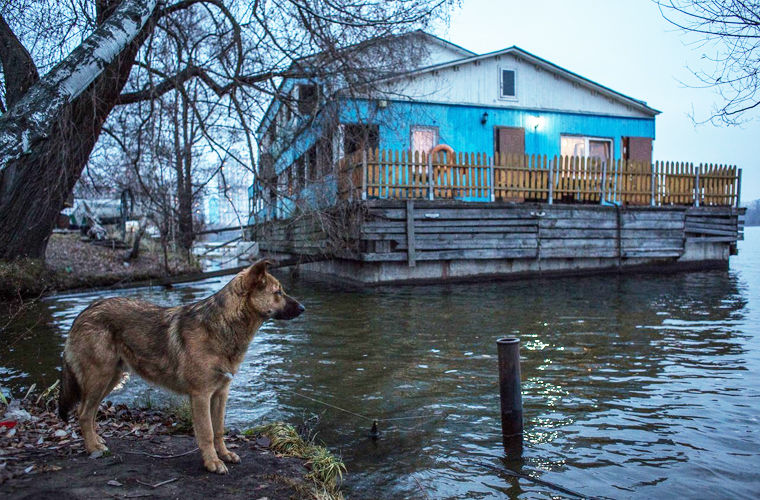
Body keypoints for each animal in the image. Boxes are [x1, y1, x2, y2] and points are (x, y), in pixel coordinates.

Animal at [58, 260, 302, 474]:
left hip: (110, 379)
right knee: (83, 413)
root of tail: (83, 313)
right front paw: (212, 462)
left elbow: (218, 430)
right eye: (278, 292)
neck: (223, 325)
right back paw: (93, 447)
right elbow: (206, 432)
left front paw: (224, 454)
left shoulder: (220, 394)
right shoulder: (201, 396)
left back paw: (96, 440)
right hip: (100, 377)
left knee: (89, 413)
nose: (303, 308)